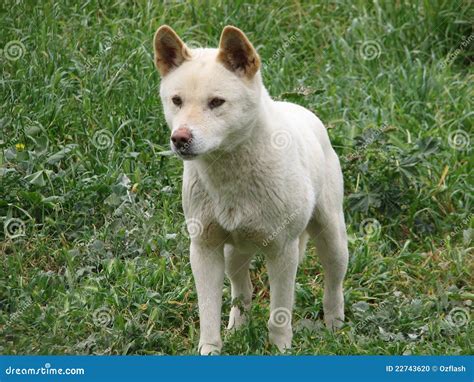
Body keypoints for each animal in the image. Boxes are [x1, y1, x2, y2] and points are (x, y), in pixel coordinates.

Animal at [153, 24, 348, 356]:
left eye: (216, 102)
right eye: (176, 100)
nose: (179, 138)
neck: (231, 175)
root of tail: (304, 112)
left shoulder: (283, 252)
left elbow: (279, 314)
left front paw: (281, 349)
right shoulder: (204, 249)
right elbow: (209, 313)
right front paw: (210, 349)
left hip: (333, 238)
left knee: (333, 283)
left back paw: (334, 325)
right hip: (234, 253)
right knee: (241, 291)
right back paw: (238, 328)